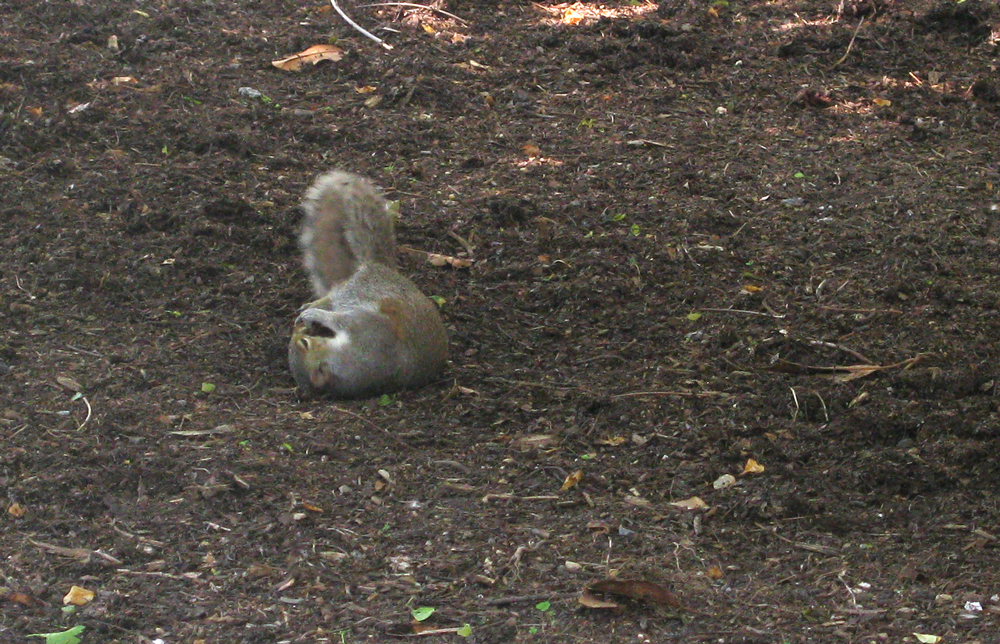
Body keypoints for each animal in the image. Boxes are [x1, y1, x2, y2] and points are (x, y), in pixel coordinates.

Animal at [288, 170, 448, 398]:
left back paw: (312, 307)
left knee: (334, 296)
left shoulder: (367, 330)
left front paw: (314, 315)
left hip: (357, 289)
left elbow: (340, 320)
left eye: (303, 343)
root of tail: (376, 266)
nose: (298, 330)